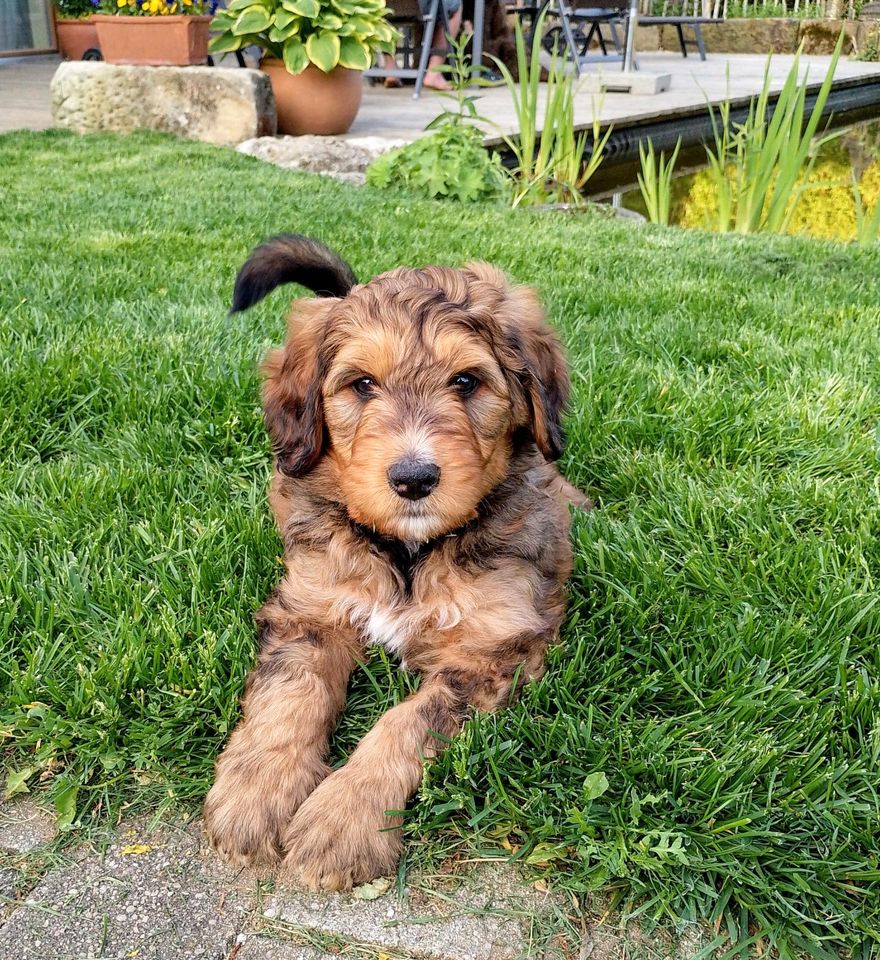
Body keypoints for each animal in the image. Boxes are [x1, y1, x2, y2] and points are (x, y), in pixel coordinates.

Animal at [205, 234, 588, 892]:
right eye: (362, 384)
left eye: (467, 381)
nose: (413, 478)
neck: (408, 555)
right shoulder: (313, 607)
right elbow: (290, 694)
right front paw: (255, 791)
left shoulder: (492, 649)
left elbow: (406, 723)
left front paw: (342, 819)